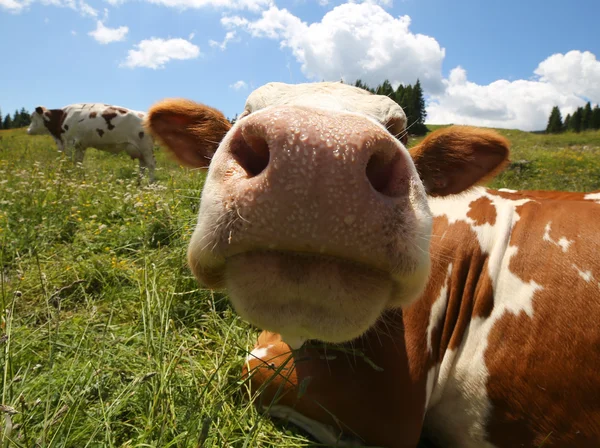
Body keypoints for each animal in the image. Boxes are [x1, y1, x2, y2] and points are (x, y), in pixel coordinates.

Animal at [28, 103, 156, 182]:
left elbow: (68, 162)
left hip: (146, 148)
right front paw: (77, 177)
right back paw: (138, 183)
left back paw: (150, 183)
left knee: (151, 165)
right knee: (142, 166)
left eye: (32, 117)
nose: (27, 130)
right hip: (139, 150)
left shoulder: (69, 143)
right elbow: (78, 162)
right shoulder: (80, 145)